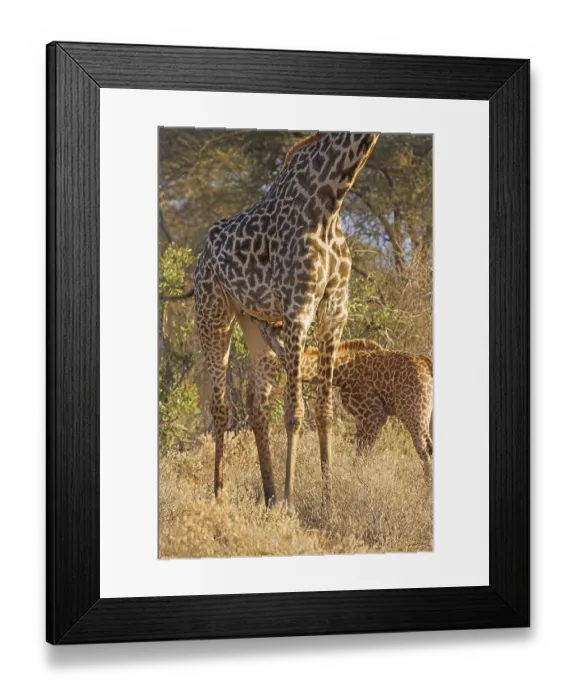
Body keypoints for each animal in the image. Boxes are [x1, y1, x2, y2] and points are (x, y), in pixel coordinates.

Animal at [194, 131, 379, 511]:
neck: (331, 197)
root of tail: (203, 254)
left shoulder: (334, 310)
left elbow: (324, 410)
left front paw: (328, 504)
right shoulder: (299, 308)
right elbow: (295, 411)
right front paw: (292, 505)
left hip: (254, 322)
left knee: (256, 400)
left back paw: (269, 494)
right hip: (213, 315)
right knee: (220, 406)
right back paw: (220, 493)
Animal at [261, 329, 433, 479]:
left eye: (275, 331)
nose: (264, 327)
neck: (342, 372)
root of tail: (427, 364)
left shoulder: (374, 415)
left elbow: (361, 454)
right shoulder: (361, 418)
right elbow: (359, 452)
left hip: (413, 413)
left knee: (425, 449)